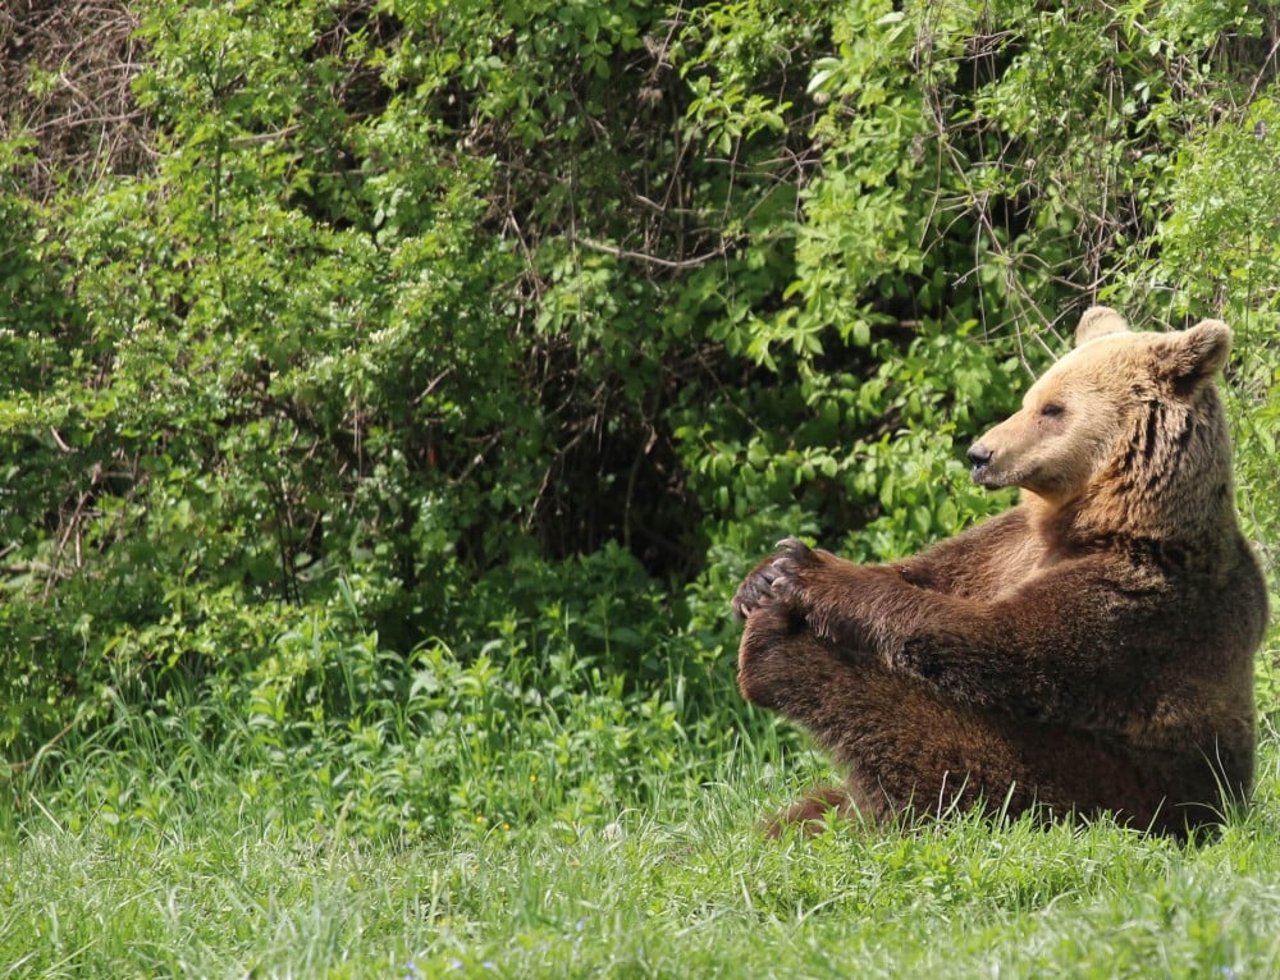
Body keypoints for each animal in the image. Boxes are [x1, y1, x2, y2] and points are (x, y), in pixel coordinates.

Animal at [737, 310, 1264, 839]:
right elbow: (929, 572)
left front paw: (804, 571)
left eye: (1053, 408)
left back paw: (772, 650)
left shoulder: (1139, 594)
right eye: (1029, 398)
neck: (1106, 519)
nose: (979, 454)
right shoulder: (1005, 547)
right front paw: (761, 577)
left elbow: (1001, 639)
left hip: (1104, 783)